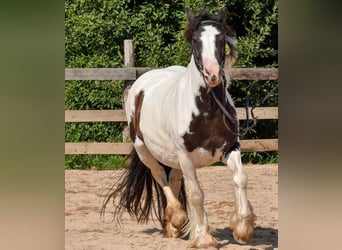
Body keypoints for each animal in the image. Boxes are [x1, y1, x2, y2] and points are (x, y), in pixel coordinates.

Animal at [103, 7, 255, 248]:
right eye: (195, 41)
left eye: (221, 38)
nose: (212, 74)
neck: (206, 110)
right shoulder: (185, 156)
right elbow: (196, 195)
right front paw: (203, 238)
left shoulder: (231, 147)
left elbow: (240, 178)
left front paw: (242, 229)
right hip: (145, 150)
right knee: (160, 177)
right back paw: (177, 217)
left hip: (173, 158)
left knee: (173, 180)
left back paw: (174, 227)